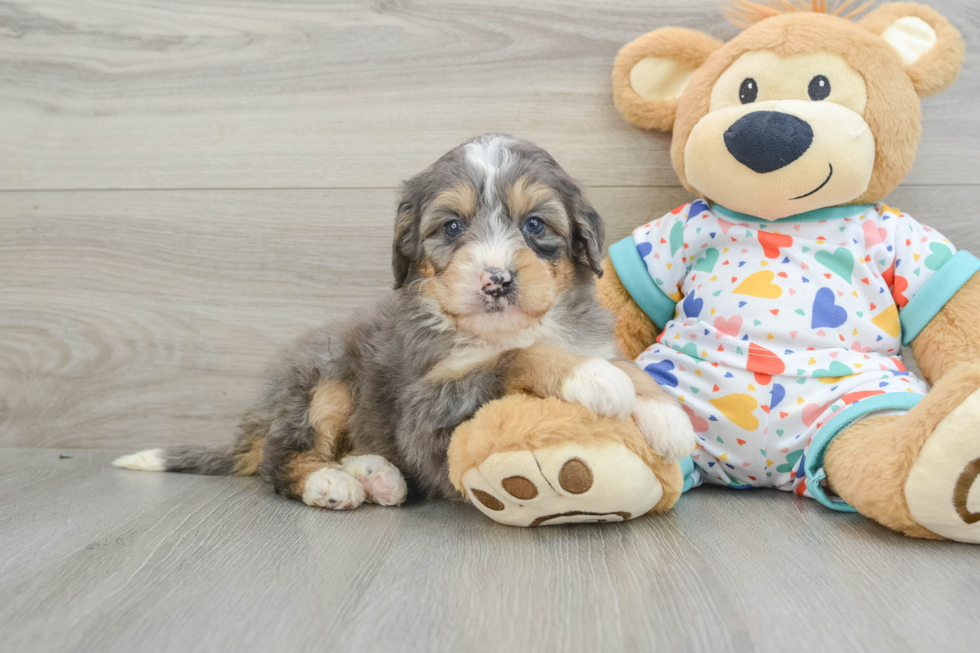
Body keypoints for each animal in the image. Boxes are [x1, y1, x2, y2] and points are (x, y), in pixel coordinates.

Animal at [115, 134, 692, 510]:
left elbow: (628, 368)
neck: (500, 327)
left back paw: (377, 475)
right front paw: (588, 376)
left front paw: (666, 415)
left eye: (534, 225)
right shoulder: (426, 408)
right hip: (325, 379)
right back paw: (331, 484)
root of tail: (260, 415)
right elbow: (518, 356)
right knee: (279, 460)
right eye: (452, 227)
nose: (497, 281)